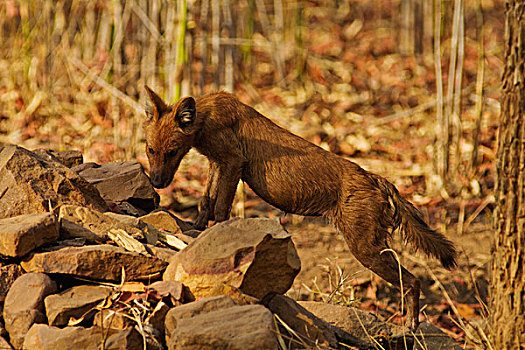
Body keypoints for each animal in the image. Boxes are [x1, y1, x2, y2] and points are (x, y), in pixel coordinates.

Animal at [142, 86, 454, 330]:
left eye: (172, 151)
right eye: (150, 149)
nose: (157, 182)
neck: (206, 116)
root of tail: (375, 177)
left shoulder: (232, 161)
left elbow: (220, 208)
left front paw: (218, 235)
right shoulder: (216, 162)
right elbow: (206, 200)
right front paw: (196, 228)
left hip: (366, 249)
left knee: (413, 281)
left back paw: (411, 326)